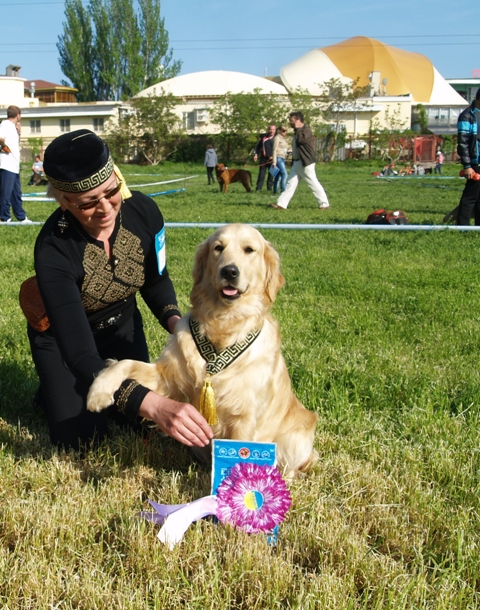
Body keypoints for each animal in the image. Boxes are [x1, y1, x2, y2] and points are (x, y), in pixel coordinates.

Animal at [87, 224, 318, 478]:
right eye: (218, 248)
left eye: (249, 249)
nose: (229, 272)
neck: (223, 325)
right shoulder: (166, 377)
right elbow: (125, 362)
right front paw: (99, 391)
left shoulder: (244, 416)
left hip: (295, 440)